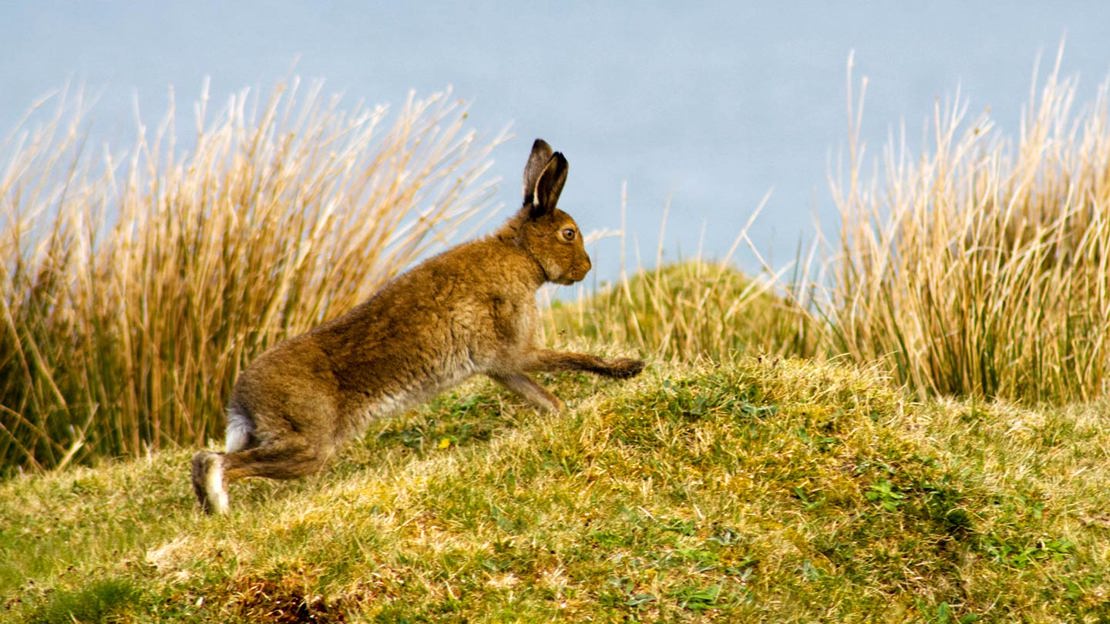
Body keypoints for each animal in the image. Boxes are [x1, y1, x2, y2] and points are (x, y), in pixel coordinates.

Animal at [192, 138, 645, 514]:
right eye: (569, 233)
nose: (586, 268)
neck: (521, 257)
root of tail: (242, 399)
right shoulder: (516, 348)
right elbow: (571, 358)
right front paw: (628, 368)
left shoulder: (501, 366)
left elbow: (542, 396)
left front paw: (562, 415)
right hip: (308, 444)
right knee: (220, 462)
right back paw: (221, 504)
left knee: (205, 458)